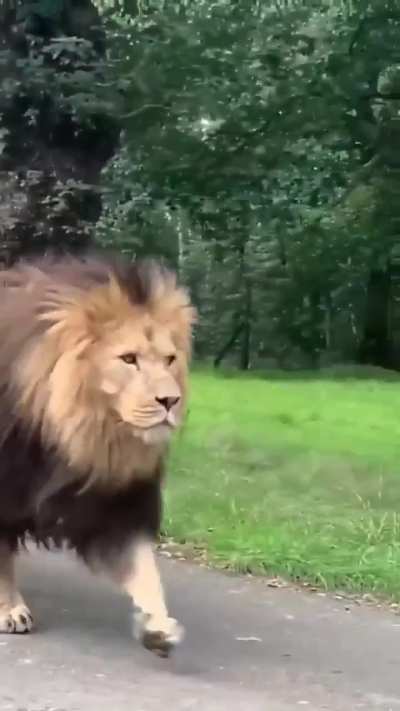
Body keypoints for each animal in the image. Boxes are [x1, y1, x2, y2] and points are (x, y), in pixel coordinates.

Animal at [0, 253, 195, 657]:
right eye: (129, 358)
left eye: (169, 359)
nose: (170, 400)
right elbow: (1, 557)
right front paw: (10, 609)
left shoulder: (114, 501)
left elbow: (144, 568)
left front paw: (158, 627)